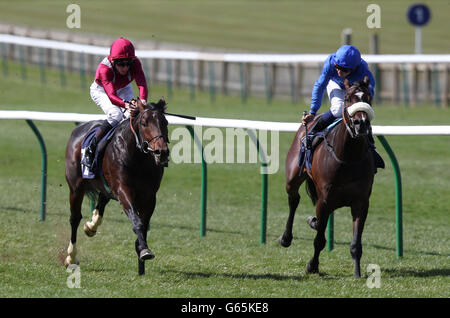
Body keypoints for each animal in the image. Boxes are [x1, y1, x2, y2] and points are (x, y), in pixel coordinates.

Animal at [62, 98, 169, 274]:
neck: (137, 157)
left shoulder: (150, 196)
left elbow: (144, 223)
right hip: (75, 187)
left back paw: (91, 226)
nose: (162, 152)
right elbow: (137, 221)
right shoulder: (123, 190)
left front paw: (140, 248)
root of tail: (77, 131)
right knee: (75, 218)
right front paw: (144, 250)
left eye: (165, 122)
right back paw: (71, 257)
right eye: (144, 123)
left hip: (105, 186)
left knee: (101, 202)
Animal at [280, 76, 374, 278]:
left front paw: (357, 273)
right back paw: (286, 237)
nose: (361, 123)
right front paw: (312, 265)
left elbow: (356, 243)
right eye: (347, 98)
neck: (348, 157)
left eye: (368, 98)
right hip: (293, 178)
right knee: (294, 199)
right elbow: (319, 240)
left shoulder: (361, 202)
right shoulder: (324, 200)